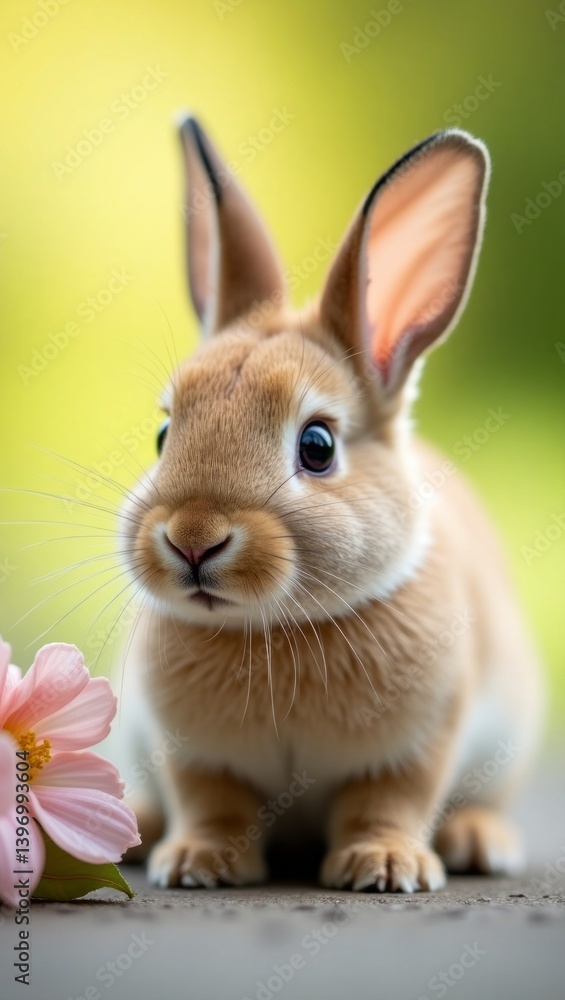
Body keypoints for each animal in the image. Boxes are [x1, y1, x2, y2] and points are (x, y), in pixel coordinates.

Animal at [115, 116, 543, 893]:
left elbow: (389, 802)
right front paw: (197, 864)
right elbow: (212, 804)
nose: (192, 538)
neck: (273, 627)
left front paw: (386, 867)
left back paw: (478, 841)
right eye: (164, 434)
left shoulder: (419, 743)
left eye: (317, 446)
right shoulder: (191, 754)